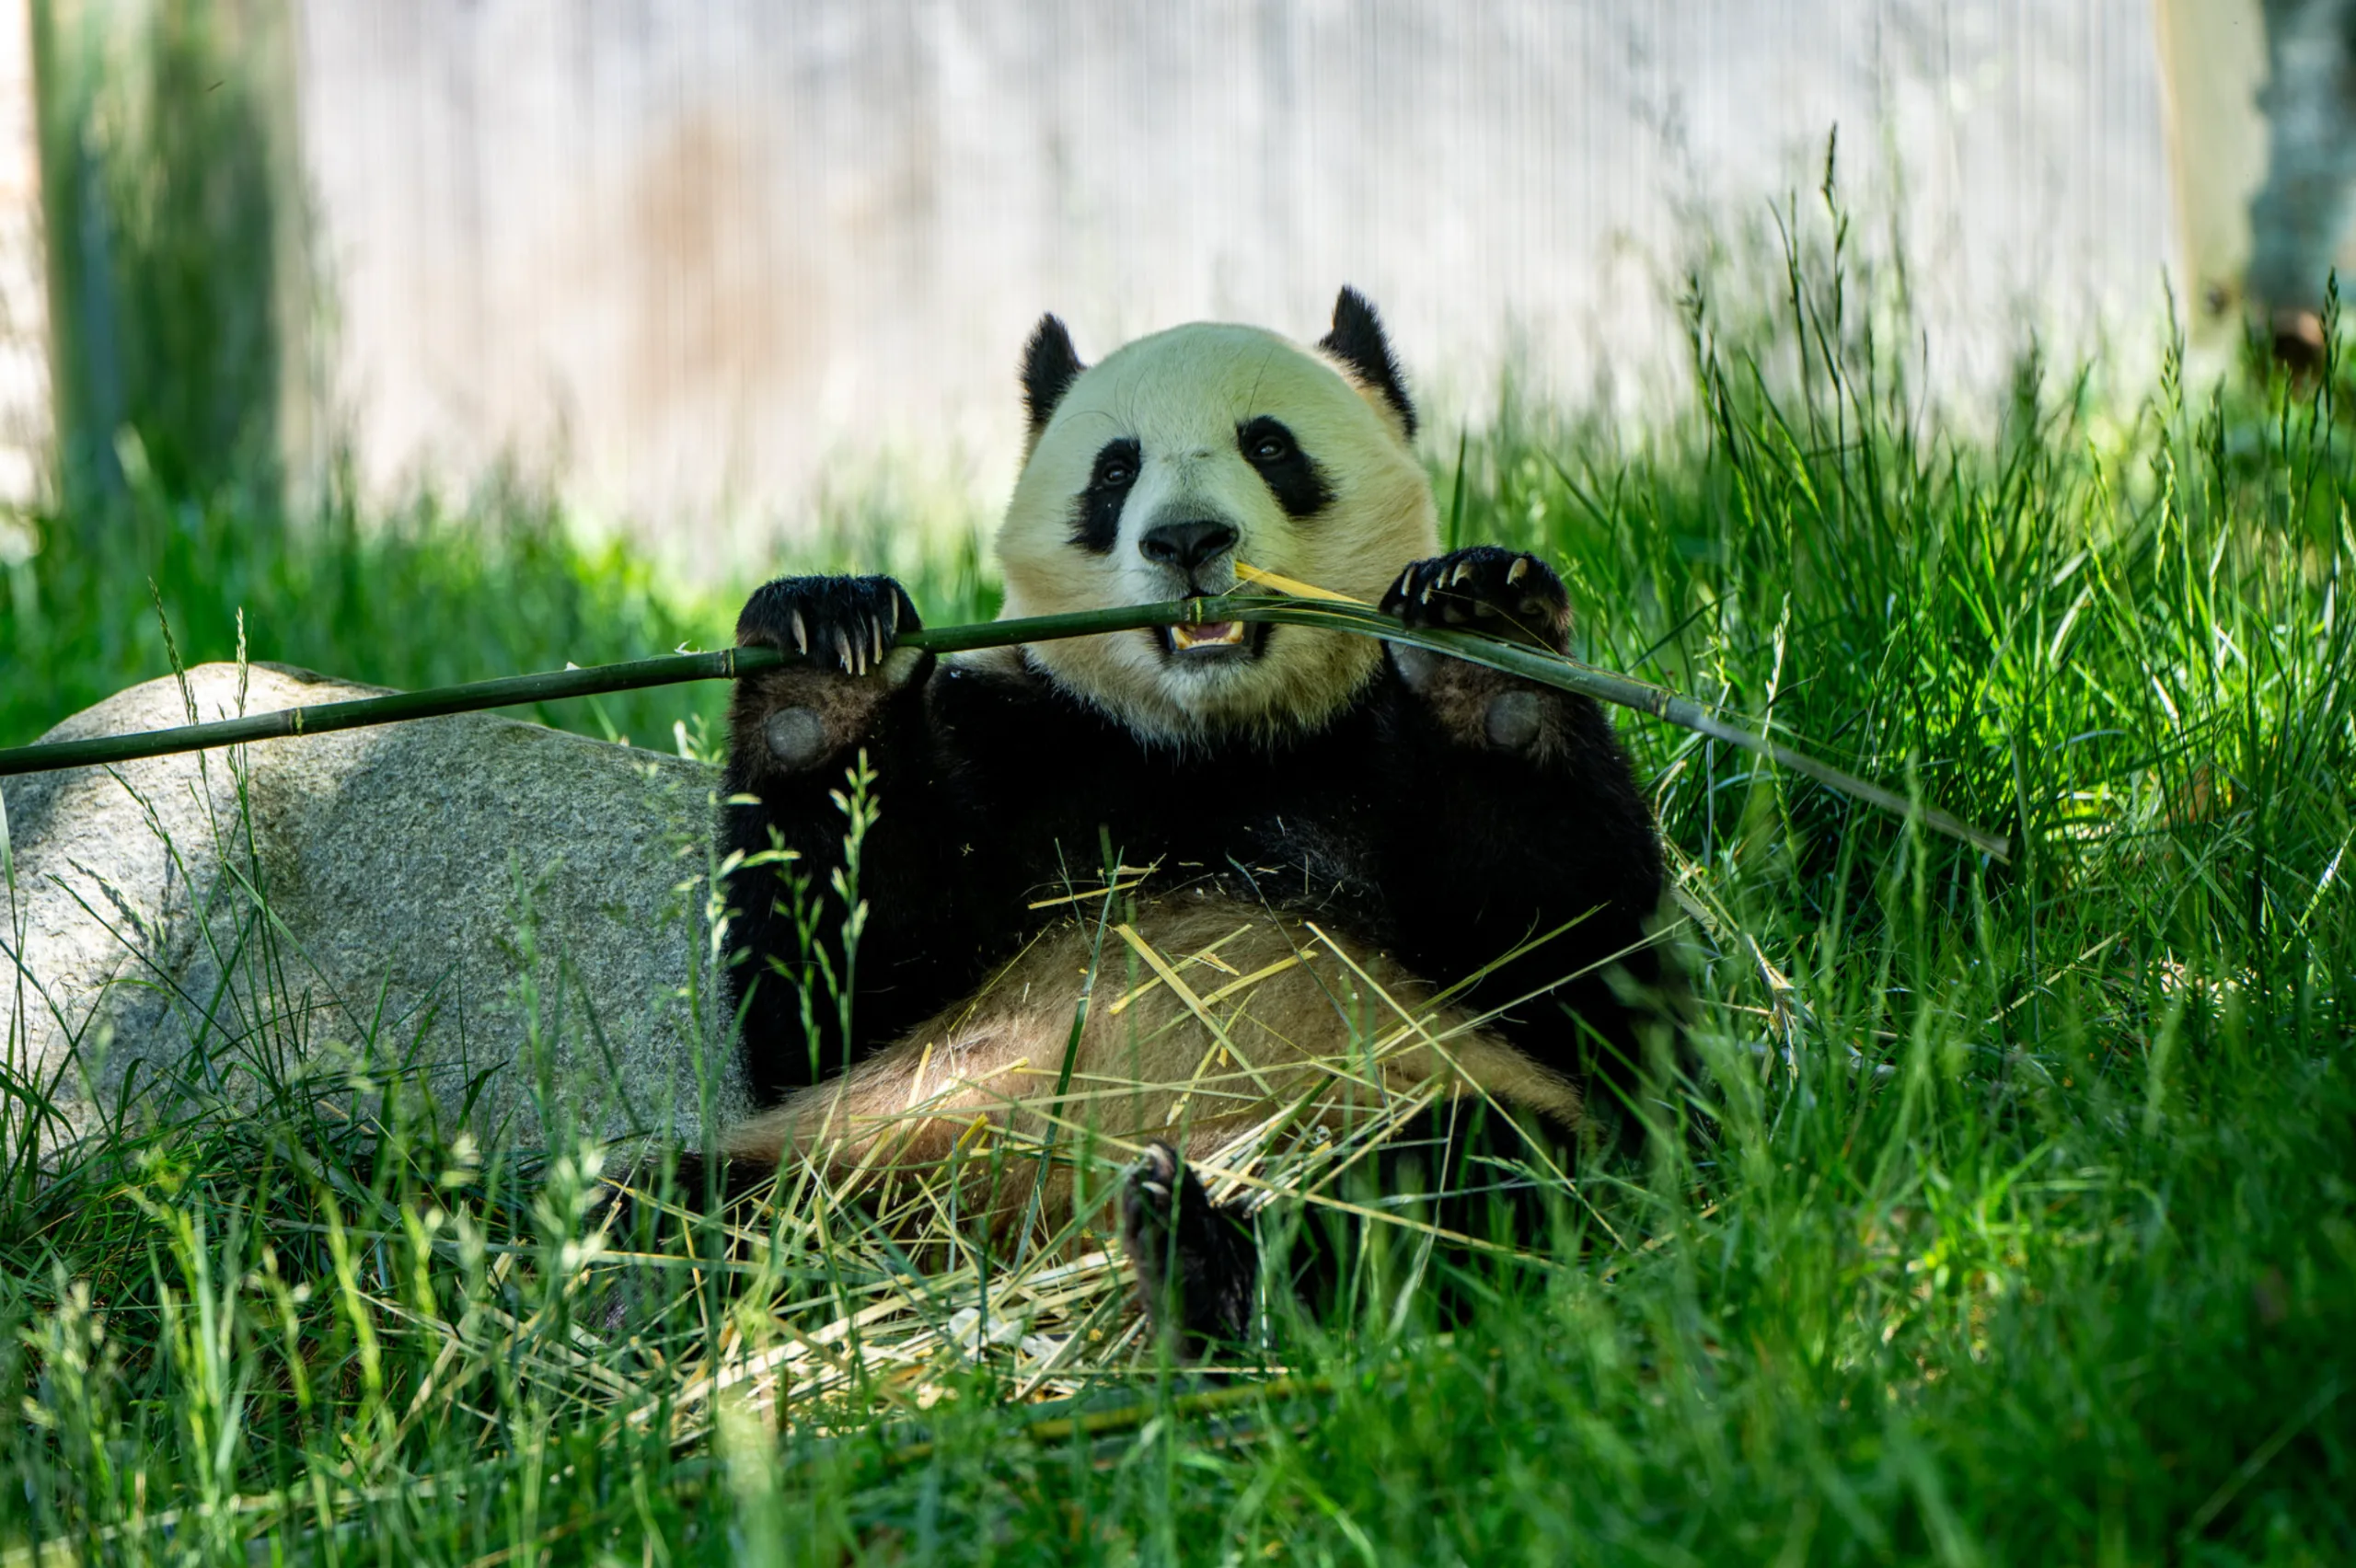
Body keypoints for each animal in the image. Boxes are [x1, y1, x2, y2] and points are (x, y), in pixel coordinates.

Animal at [709, 288, 1675, 1352]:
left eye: (1270, 445)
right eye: (1114, 469)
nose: (1186, 542)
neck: (1208, 744)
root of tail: (1041, 1237)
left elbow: (1575, 971)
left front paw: (1482, 640)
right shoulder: (1024, 740)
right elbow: (836, 1001)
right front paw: (823, 661)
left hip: (1382, 1099)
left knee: (1456, 1174)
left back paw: (1205, 1265)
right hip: (880, 1142)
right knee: (688, 1204)